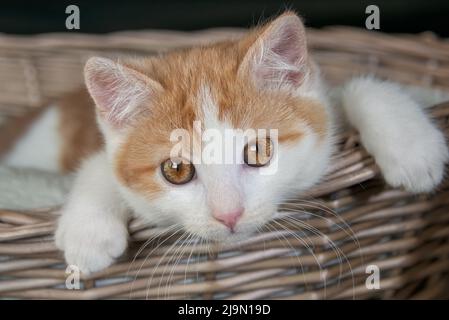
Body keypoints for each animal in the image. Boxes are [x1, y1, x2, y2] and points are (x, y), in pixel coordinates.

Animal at [0, 11, 448, 272]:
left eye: (259, 151)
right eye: (176, 169)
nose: (229, 215)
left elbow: (352, 88)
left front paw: (412, 147)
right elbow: (98, 165)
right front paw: (88, 232)